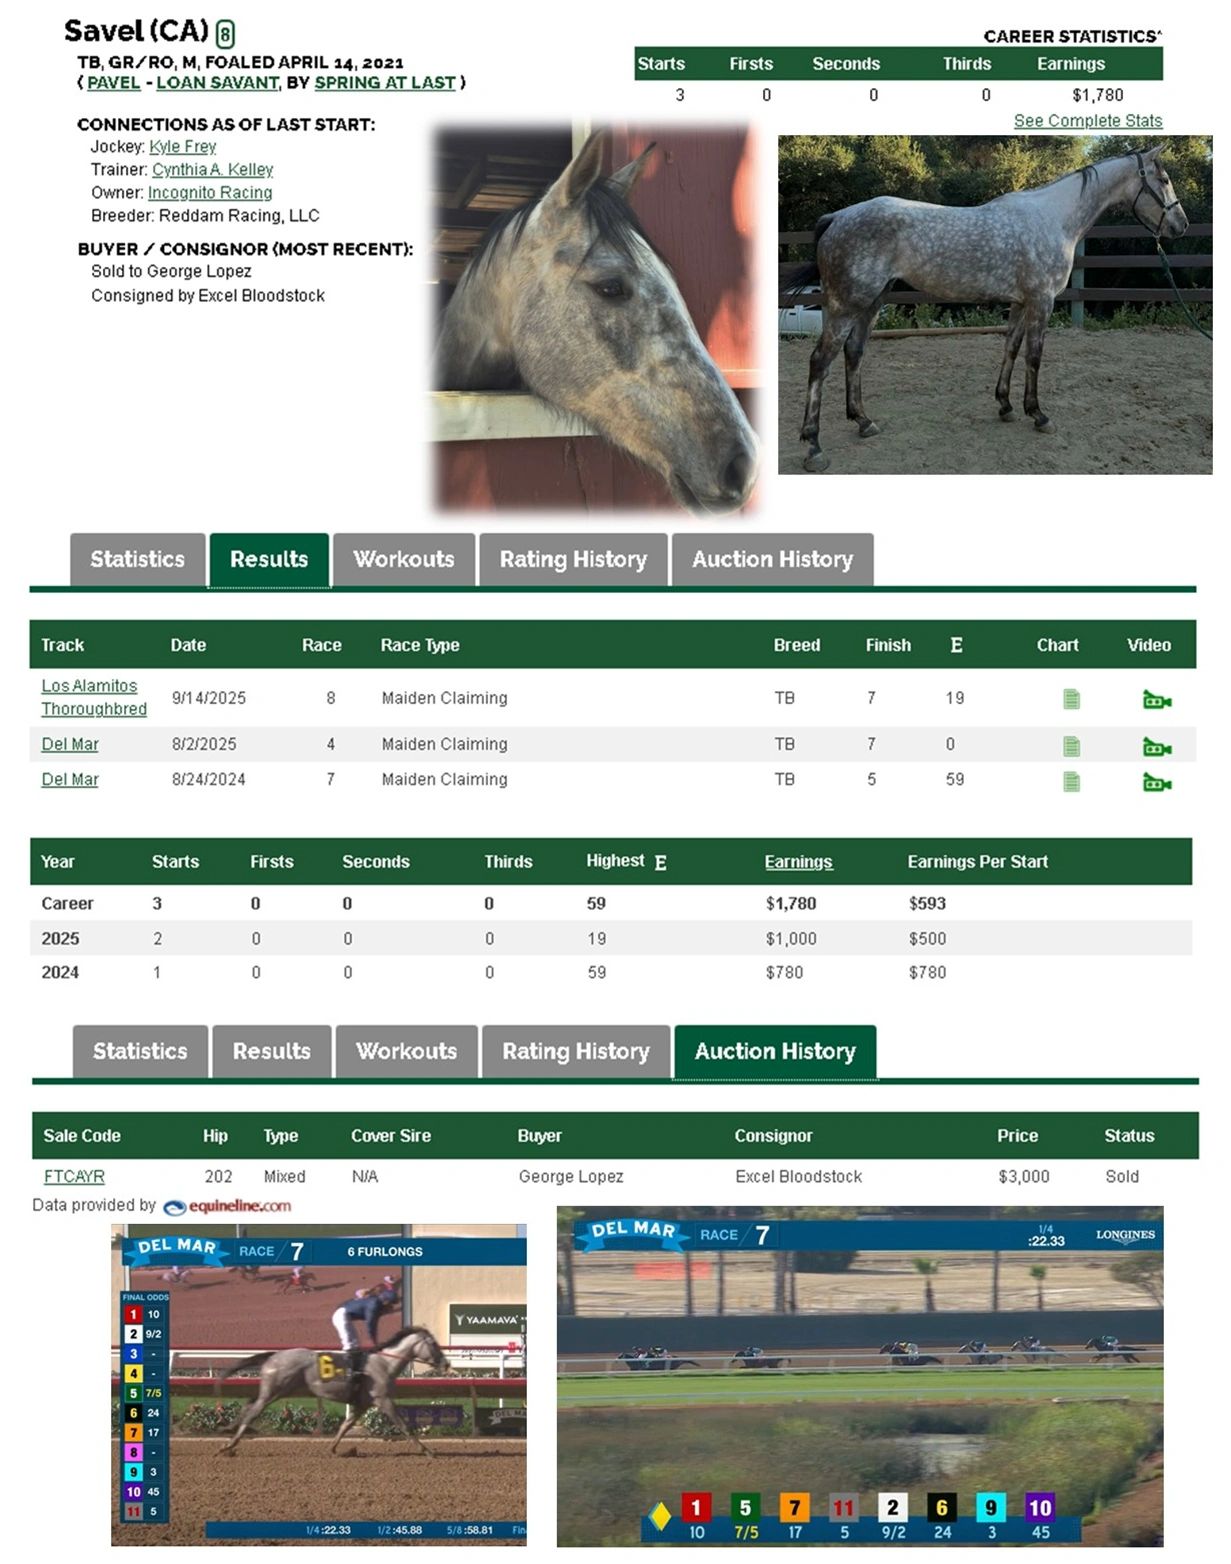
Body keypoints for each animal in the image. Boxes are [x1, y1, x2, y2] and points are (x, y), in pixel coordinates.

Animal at [215, 1324, 451, 1456]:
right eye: (433, 1344)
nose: (446, 1363)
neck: (384, 1364)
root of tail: (273, 1356)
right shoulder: (383, 1400)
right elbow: (404, 1425)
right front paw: (427, 1451)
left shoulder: (362, 1404)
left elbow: (345, 1426)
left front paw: (334, 1448)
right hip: (275, 1390)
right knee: (253, 1412)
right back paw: (229, 1445)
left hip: (276, 1390)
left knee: (249, 1404)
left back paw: (229, 1429)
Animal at [786, 147, 1189, 470]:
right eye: (1165, 179)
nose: (1181, 225)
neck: (1053, 219)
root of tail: (837, 218)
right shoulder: (1041, 301)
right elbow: (1034, 357)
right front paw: (1038, 414)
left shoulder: (1020, 302)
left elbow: (1010, 348)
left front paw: (1006, 405)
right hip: (847, 305)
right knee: (820, 361)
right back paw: (814, 447)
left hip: (872, 301)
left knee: (853, 353)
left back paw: (864, 422)